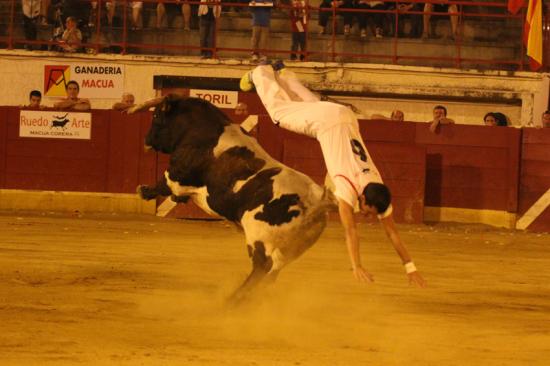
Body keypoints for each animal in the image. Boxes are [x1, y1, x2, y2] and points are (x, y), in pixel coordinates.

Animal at [129, 96, 336, 302]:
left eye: (156, 115)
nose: (146, 140)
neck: (200, 129)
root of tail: (315, 201)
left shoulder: (178, 174)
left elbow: (162, 184)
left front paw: (143, 190)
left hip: (259, 239)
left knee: (262, 267)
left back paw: (233, 299)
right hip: (293, 248)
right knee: (271, 274)